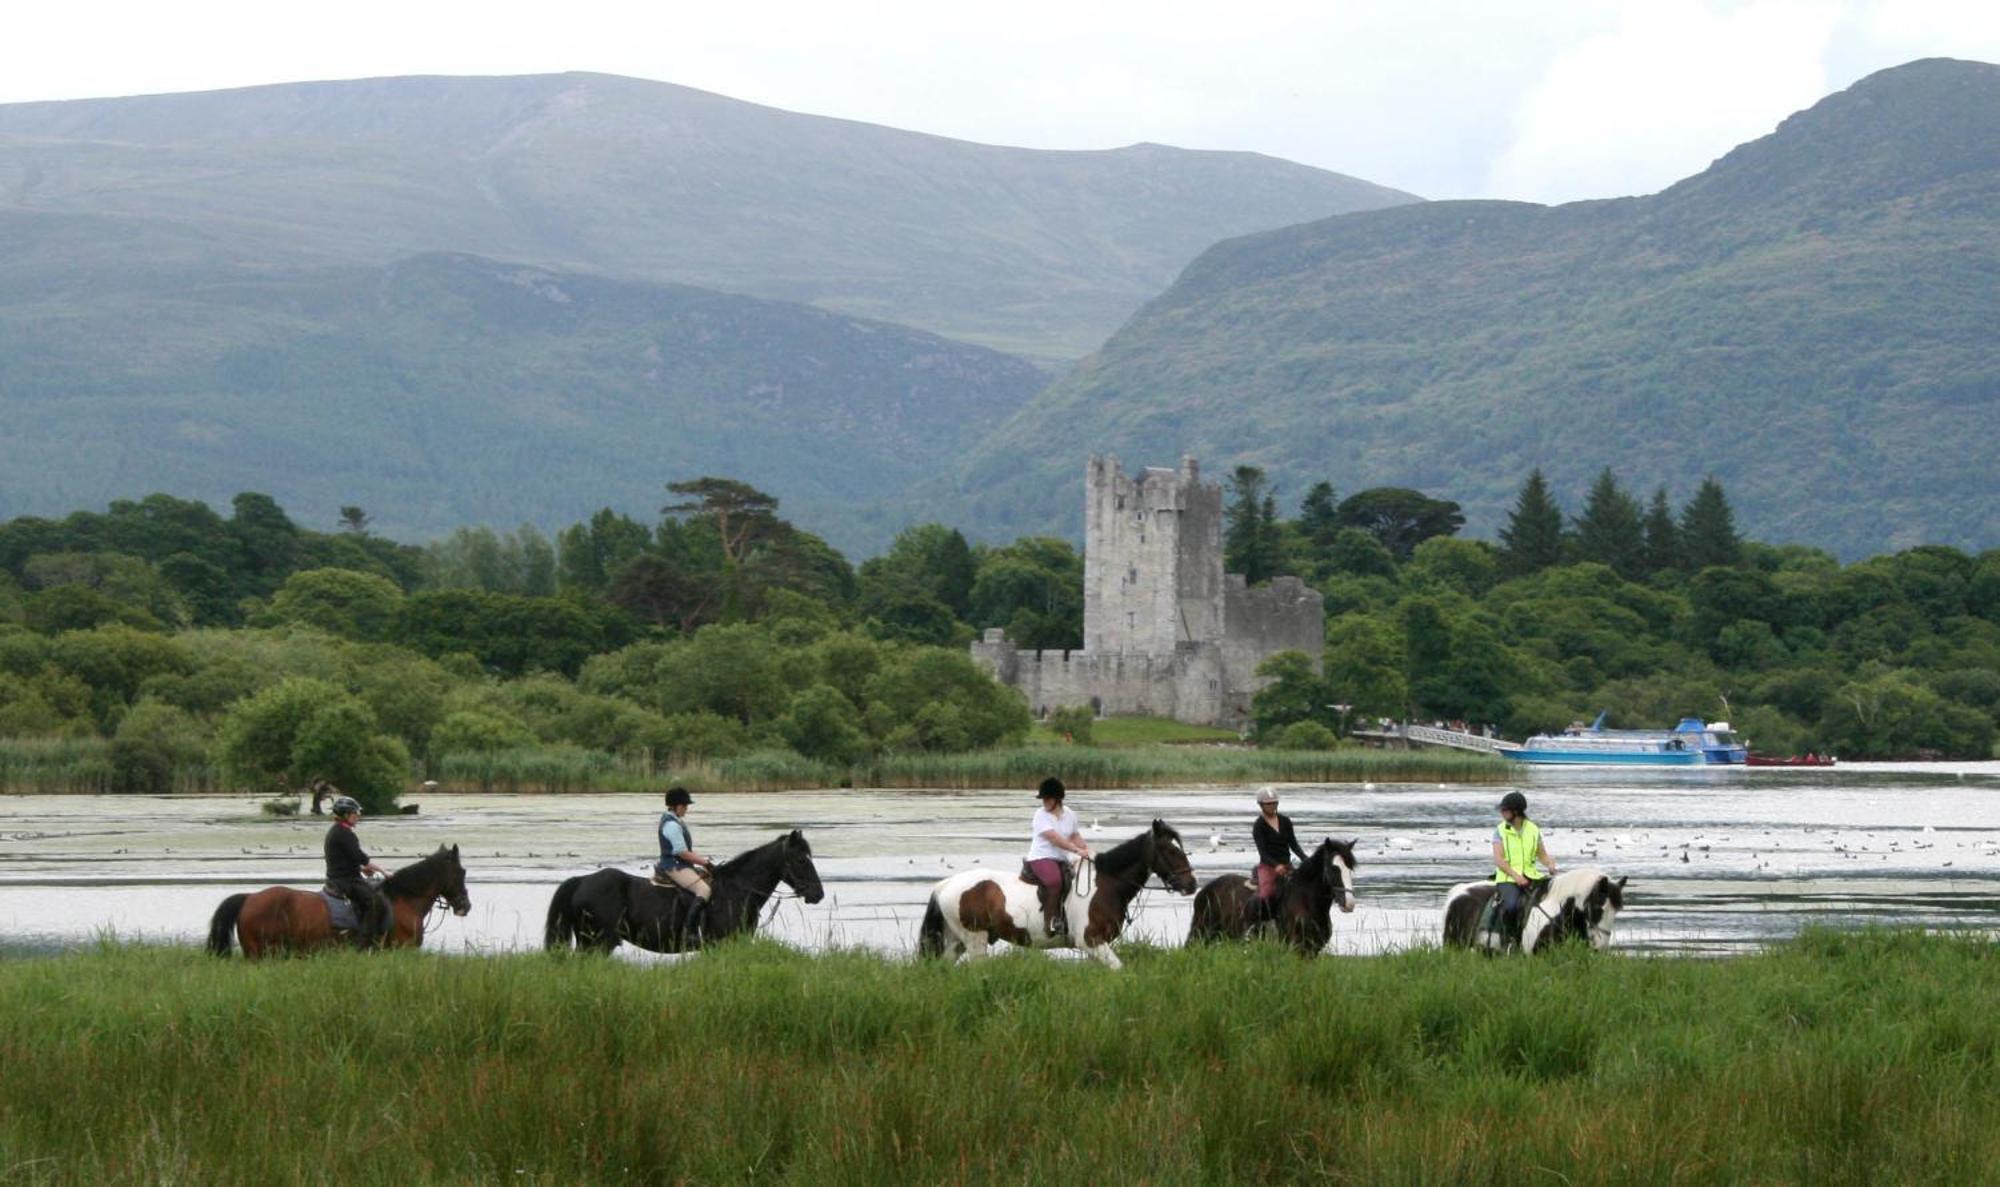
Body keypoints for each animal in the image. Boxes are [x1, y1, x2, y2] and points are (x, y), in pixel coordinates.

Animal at [205, 835, 470, 955]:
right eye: (462, 871)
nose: (465, 906)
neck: (403, 900)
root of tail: (250, 898)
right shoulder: (401, 950)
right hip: (262, 953)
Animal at [544, 831, 824, 951]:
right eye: (801, 860)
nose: (818, 894)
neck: (737, 890)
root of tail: (581, 881)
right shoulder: (719, 944)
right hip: (597, 942)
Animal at [916, 819, 1192, 967]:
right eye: (1171, 851)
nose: (1190, 884)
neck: (1108, 883)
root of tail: (944, 885)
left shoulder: (1095, 947)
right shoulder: (1091, 941)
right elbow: (1119, 968)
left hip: (955, 941)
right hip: (974, 939)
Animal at [1184, 831, 1360, 951]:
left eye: (1350, 868)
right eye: (1334, 868)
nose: (1349, 904)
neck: (1305, 902)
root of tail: (1205, 890)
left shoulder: (1312, 949)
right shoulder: (1294, 946)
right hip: (1201, 932)